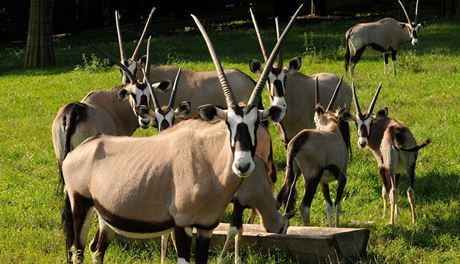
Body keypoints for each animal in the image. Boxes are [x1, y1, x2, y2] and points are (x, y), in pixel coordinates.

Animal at [344, 83, 432, 225]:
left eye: (370, 122)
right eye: (357, 123)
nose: (362, 142)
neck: (383, 126)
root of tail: (395, 133)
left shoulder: (382, 166)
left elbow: (385, 191)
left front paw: (384, 215)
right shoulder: (398, 171)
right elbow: (396, 187)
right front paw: (397, 213)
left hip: (390, 167)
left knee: (393, 192)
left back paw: (391, 222)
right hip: (410, 167)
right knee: (410, 191)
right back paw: (414, 220)